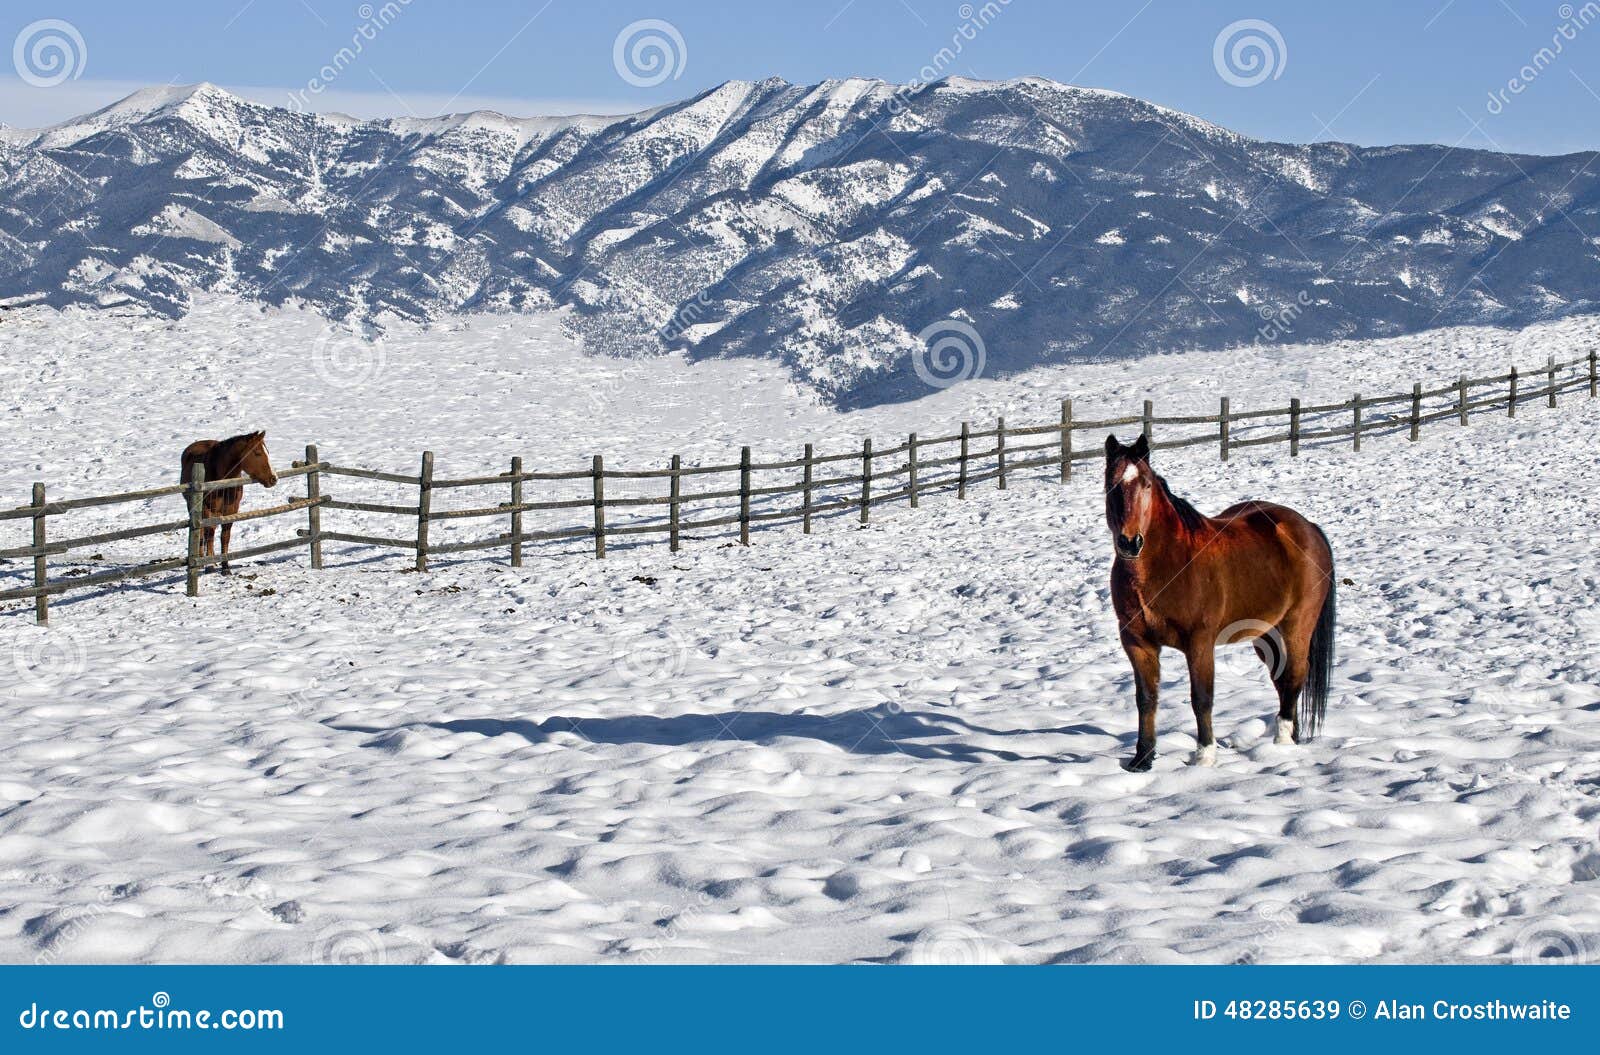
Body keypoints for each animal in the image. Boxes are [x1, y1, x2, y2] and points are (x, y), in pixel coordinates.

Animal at [182, 432, 281, 573]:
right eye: (257, 453)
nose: (274, 478)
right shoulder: (207, 509)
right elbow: (209, 534)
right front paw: (210, 565)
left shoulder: (231, 510)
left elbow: (225, 536)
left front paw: (225, 566)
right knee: (202, 532)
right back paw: (202, 560)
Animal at [1100, 432, 1337, 771]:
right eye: (1112, 484)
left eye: (1145, 484)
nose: (1130, 542)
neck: (1167, 565)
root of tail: (1309, 528)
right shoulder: (1137, 642)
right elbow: (1146, 698)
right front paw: (1142, 759)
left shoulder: (1200, 641)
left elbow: (1201, 697)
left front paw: (1205, 756)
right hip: (1267, 633)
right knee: (1282, 681)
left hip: (1297, 625)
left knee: (1293, 676)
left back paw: (1282, 744)